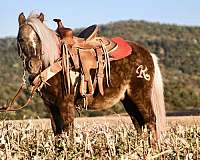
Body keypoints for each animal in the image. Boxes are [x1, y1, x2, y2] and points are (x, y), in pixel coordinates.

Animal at [16, 12, 166, 141]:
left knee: (151, 121)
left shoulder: (65, 105)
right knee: (139, 124)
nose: (34, 65)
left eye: (39, 39)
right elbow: (58, 135)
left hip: (140, 96)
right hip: (128, 99)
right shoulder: (51, 107)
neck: (53, 61)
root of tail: (148, 54)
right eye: (21, 39)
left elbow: (68, 133)